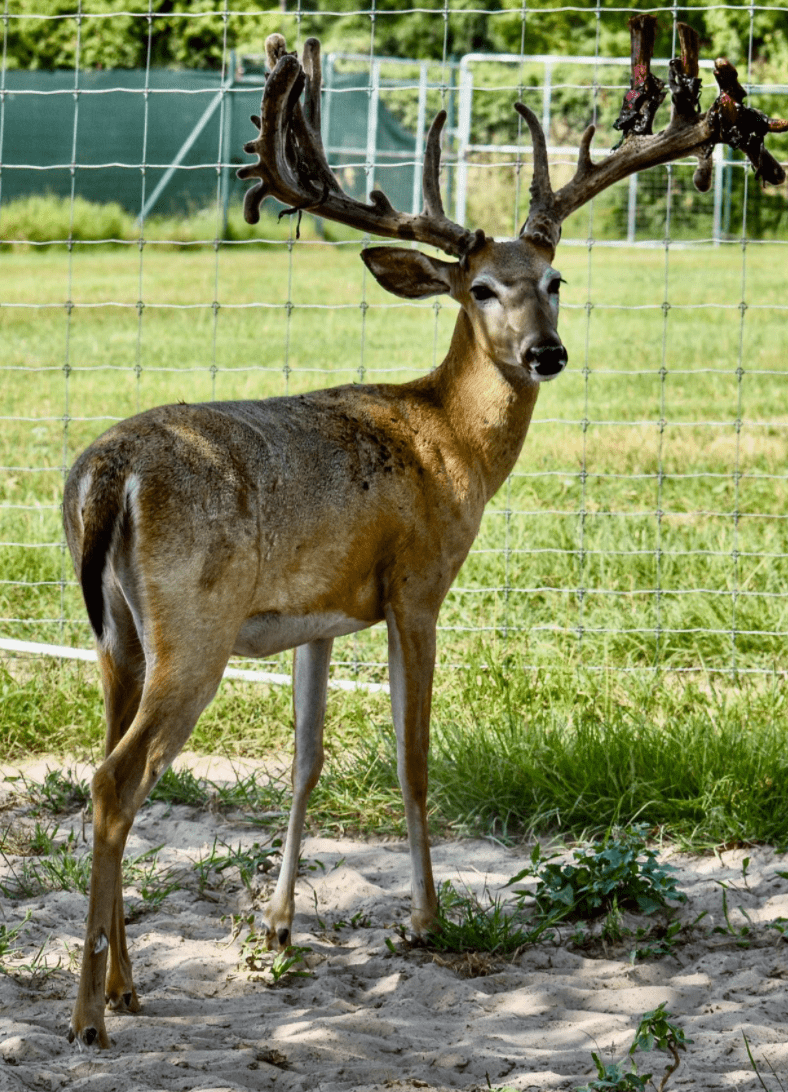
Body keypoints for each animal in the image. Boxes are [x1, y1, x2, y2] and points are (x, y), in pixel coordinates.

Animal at [62, 17, 786, 1048]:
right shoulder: (416, 583)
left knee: (111, 767)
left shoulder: (316, 614)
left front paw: (280, 924)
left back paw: (125, 984)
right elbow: (411, 759)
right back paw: (91, 1013)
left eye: (555, 278)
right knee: (114, 782)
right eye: (479, 288)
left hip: (118, 636)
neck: (447, 439)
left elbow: (307, 760)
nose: (547, 352)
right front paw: (427, 918)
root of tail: (108, 472)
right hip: (194, 629)